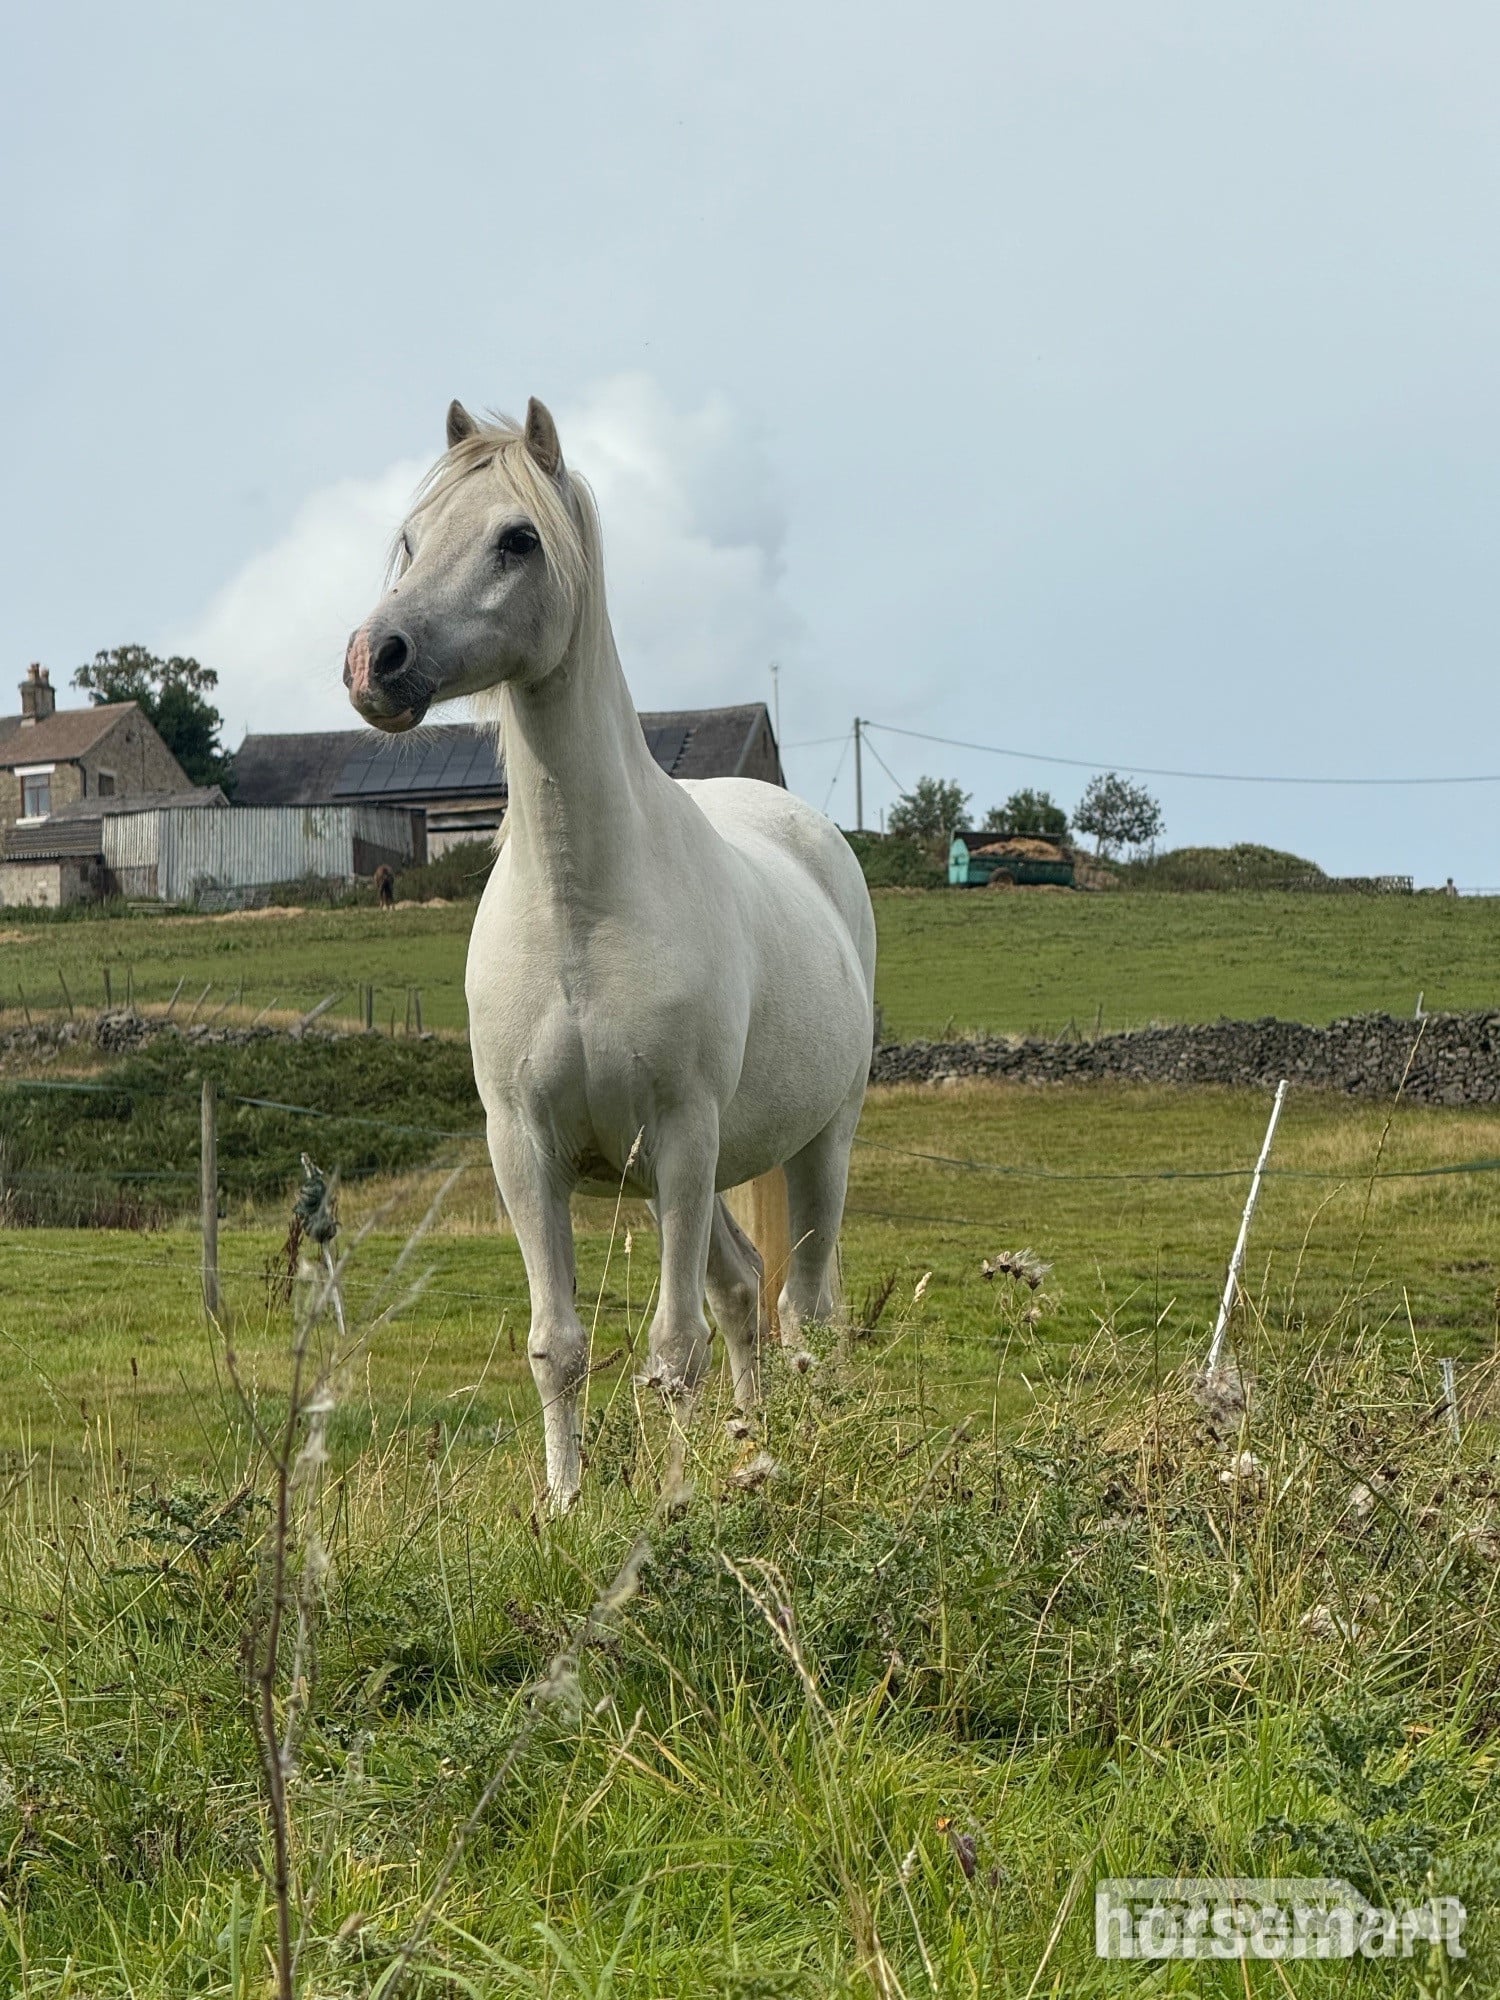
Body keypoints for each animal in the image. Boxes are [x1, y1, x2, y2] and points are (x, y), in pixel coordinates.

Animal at [345, 396, 876, 1506]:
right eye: (410, 539)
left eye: (517, 538)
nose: (377, 660)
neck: (579, 917)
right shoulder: (526, 1148)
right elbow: (560, 1343)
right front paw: (565, 1503)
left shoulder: (679, 1138)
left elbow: (671, 1348)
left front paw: (670, 1503)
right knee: (743, 1292)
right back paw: (748, 1444)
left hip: (819, 1144)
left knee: (805, 1308)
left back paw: (803, 1444)